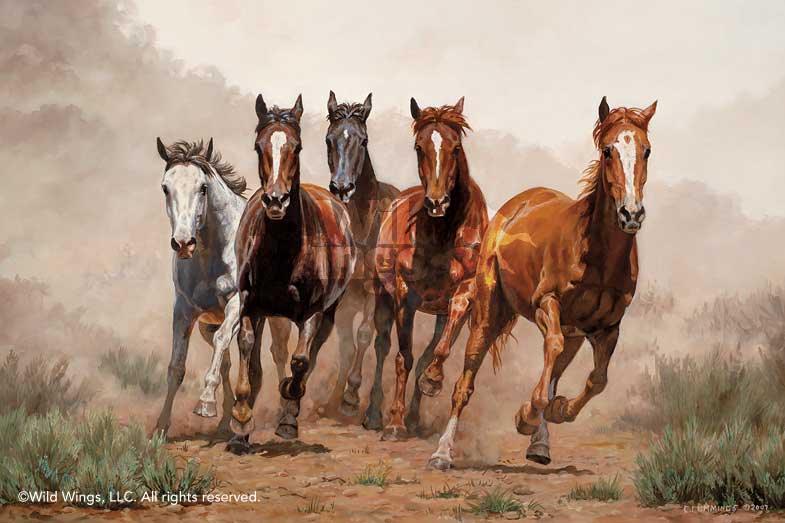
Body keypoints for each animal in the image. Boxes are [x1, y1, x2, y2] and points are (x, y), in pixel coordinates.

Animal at [153, 138, 290, 438]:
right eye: (165, 187)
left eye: (203, 188)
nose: (183, 243)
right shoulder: (184, 310)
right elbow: (176, 367)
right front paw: (160, 428)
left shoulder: (237, 304)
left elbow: (222, 341)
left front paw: (205, 403)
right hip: (214, 322)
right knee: (237, 359)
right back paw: (230, 419)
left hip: (276, 318)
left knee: (278, 353)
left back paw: (283, 414)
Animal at [228, 94, 356, 448]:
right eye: (258, 146)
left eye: (296, 147)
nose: (276, 200)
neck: (283, 253)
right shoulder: (251, 304)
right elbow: (247, 348)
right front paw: (240, 420)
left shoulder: (313, 311)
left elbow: (300, 361)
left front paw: (288, 402)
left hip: (328, 310)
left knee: (308, 354)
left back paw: (289, 412)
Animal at [316, 91, 400, 417]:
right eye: (329, 139)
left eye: (363, 141)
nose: (342, 187)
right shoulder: (343, 294)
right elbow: (345, 345)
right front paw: (334, 400)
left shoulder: (373, 291)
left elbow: (365, 335)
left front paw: (352, 393)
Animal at [364, 97, 488, 440]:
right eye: (419, 147)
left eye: (456, 147)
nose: (436, 203)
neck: (443, 233)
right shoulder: (405, 295)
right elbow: (402, 357)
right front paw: (395, 422)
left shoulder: (463, 295)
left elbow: (435, 353)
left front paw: (432, 381)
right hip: (382, 295)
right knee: (382, 347)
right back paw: (374, 414)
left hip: (439, 312)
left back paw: (416, 414)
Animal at [428, 97, 657, 469]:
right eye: (608, 150)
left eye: (646, 150)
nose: (631, 214)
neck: (596, 257)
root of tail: (516, 204)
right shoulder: (545, 304)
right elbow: (552, 354)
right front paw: (527, 415)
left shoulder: (607, 327)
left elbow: (597, 380)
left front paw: (557, 411)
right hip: (489, 312)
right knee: (465, 382)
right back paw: (442, 452)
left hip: (572, 333)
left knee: (555, 371)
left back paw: (540, 444)